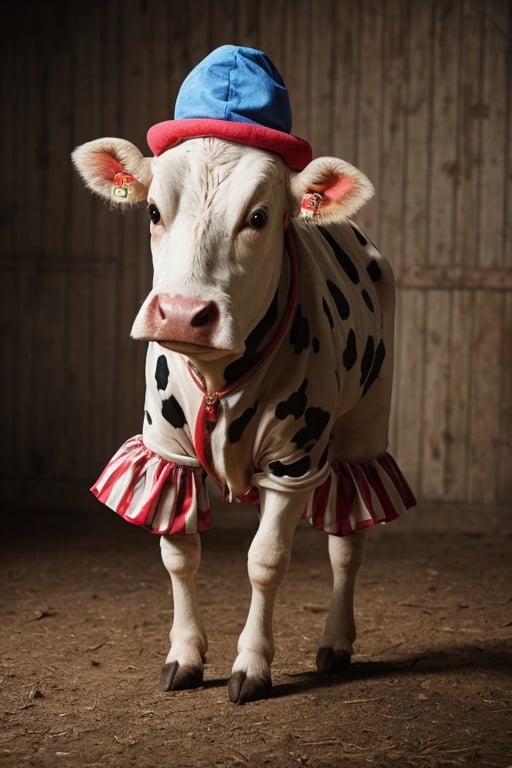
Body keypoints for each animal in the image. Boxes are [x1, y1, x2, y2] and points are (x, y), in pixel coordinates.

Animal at [73, 43, 416, 704]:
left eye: (258, 217)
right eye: (152, 209)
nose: (183, 313)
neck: (219, 375)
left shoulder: (293, 461)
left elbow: (266, 561)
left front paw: (252, 664)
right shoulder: (166, 452)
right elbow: (179, 553)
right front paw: (185, 655)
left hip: (364, 424)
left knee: (348, 539)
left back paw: (337, 642)